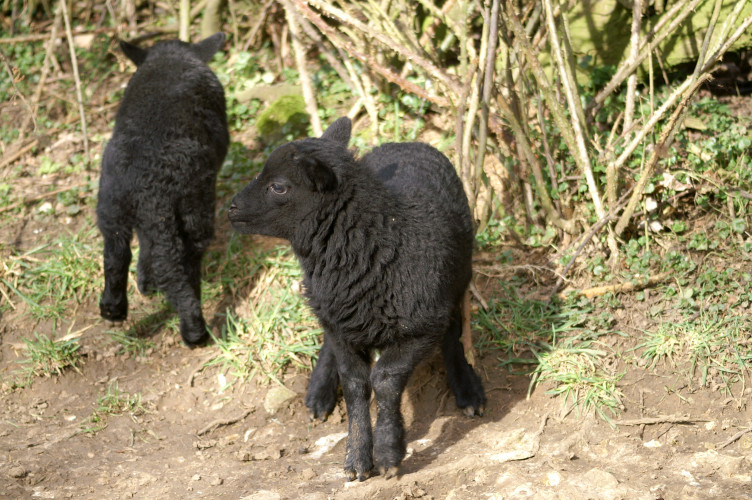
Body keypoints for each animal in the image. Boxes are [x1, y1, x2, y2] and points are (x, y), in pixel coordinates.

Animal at [96, 32, 229, 347]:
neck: (169, 57)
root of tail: (143, 181)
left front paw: (146, 282)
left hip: (112, 202)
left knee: (116, 253)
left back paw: (113, 309)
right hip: (191, 205)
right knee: (179, 260)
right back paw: (194, 329)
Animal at [228, 117, 486, 480]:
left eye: (279, 187)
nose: (231, 208)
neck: (379, 241)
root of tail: (407, 143)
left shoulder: (422, 326)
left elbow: (385, 379)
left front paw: (389, 452)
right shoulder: (341, 321)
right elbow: (355, 384)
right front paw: (358, 458)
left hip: (459, 275)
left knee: (453, 330)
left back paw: (466, 387)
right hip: (327, 301)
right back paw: (319, 394)